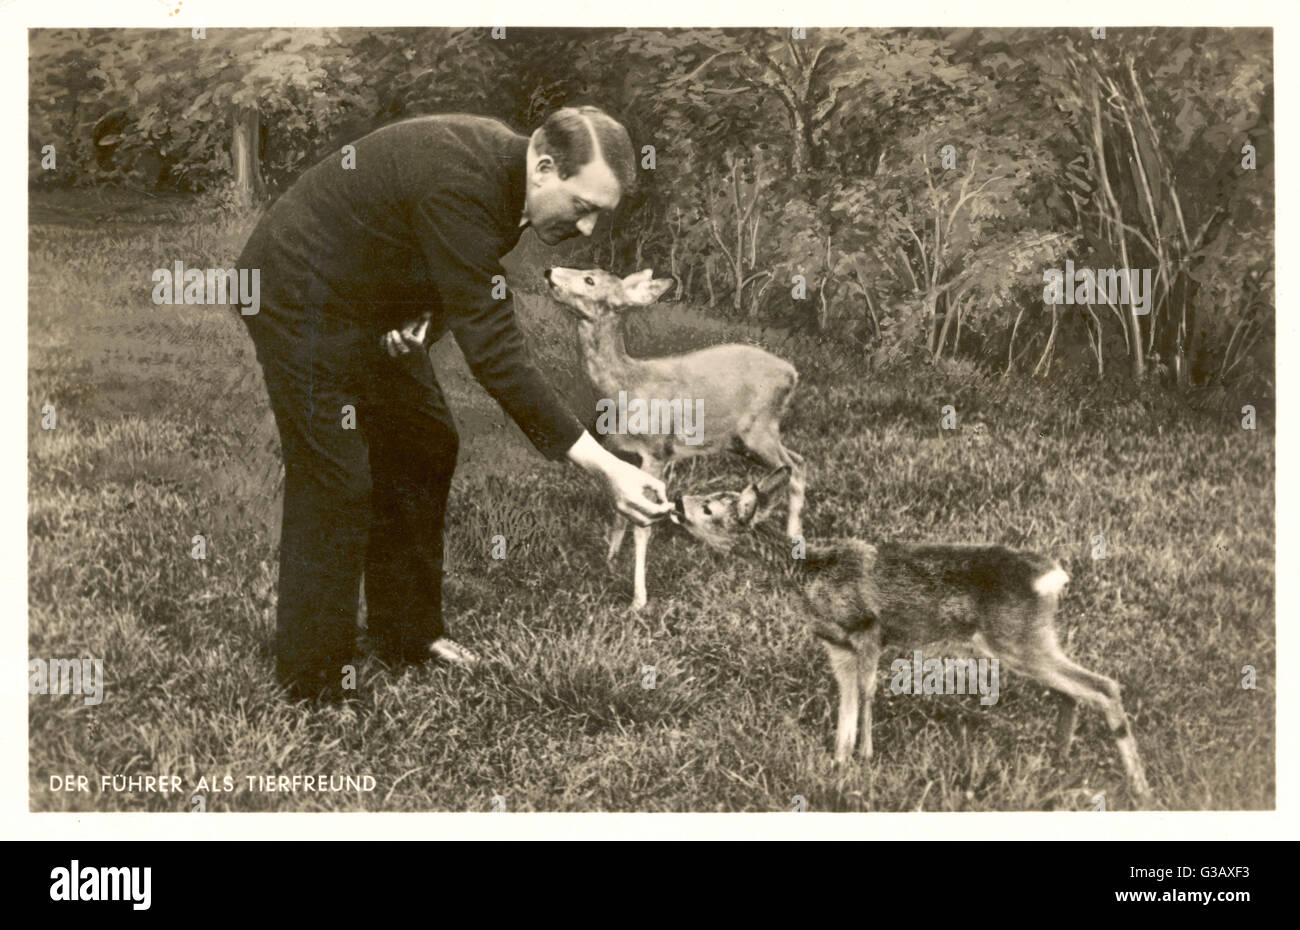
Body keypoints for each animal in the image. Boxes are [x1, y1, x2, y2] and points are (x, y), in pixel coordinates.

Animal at [543, 265, 806, 611]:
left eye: (590, 280)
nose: (549, 271)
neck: (627, 385)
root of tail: (793, 373)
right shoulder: (623, 453)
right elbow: (618, 512)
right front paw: (610, 561)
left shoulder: (656, 452)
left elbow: (642, 526)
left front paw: (638, 599)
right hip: (742, 439)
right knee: (796, 461)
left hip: (758, 430)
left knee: (796, 468)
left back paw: (794, 541)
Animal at [665, 468, 1154, 806]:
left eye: (708, 508)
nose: (675, 499)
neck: (809, 575)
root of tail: (1052, 577)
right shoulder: (837, 646)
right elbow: (845, 705)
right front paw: (838, 763)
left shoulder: (868, 629)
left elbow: (866, 695)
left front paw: (864, 759)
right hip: (1028, 640)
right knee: (1072, 691)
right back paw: (1060, 761)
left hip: (1017, 638)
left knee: (1103, 686)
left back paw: (1139, 786)